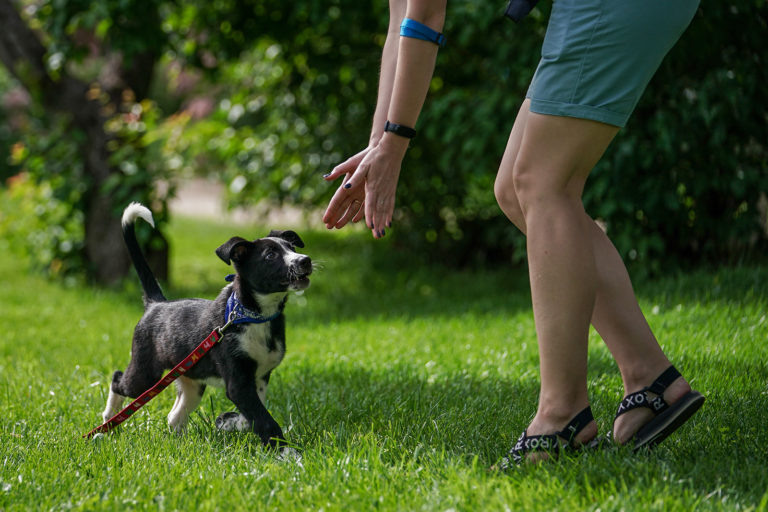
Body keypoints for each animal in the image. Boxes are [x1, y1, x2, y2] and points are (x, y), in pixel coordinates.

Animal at [102, 202, 312, 446]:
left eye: (292, 247)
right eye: (270, 255)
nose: (305, 260)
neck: (253, 315)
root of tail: (156, 304)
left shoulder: (259, 377)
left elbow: (253, 415)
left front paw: (228, 422)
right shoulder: (238, 383)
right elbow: (264, 419)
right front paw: (286, 451)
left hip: (191, 380)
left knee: (174, 416)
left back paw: (181, 444)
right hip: (145, 374)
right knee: (118, 379)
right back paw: (108, 422)